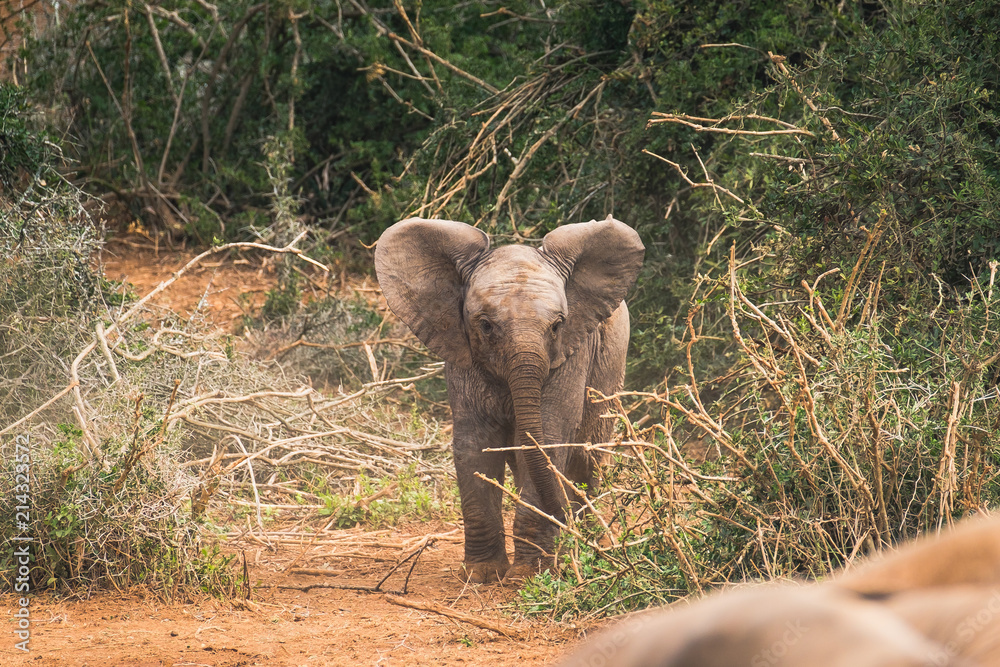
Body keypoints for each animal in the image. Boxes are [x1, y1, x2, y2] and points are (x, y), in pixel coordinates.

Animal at [374, 215, 644, 582]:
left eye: (557, 326)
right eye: (486, 326)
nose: (564, 523)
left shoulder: (570, 354)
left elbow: (547, 438)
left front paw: (528, 577)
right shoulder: (463, 353)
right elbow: (474, 445)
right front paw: (482, 576)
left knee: (587, 457)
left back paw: (585, 547)